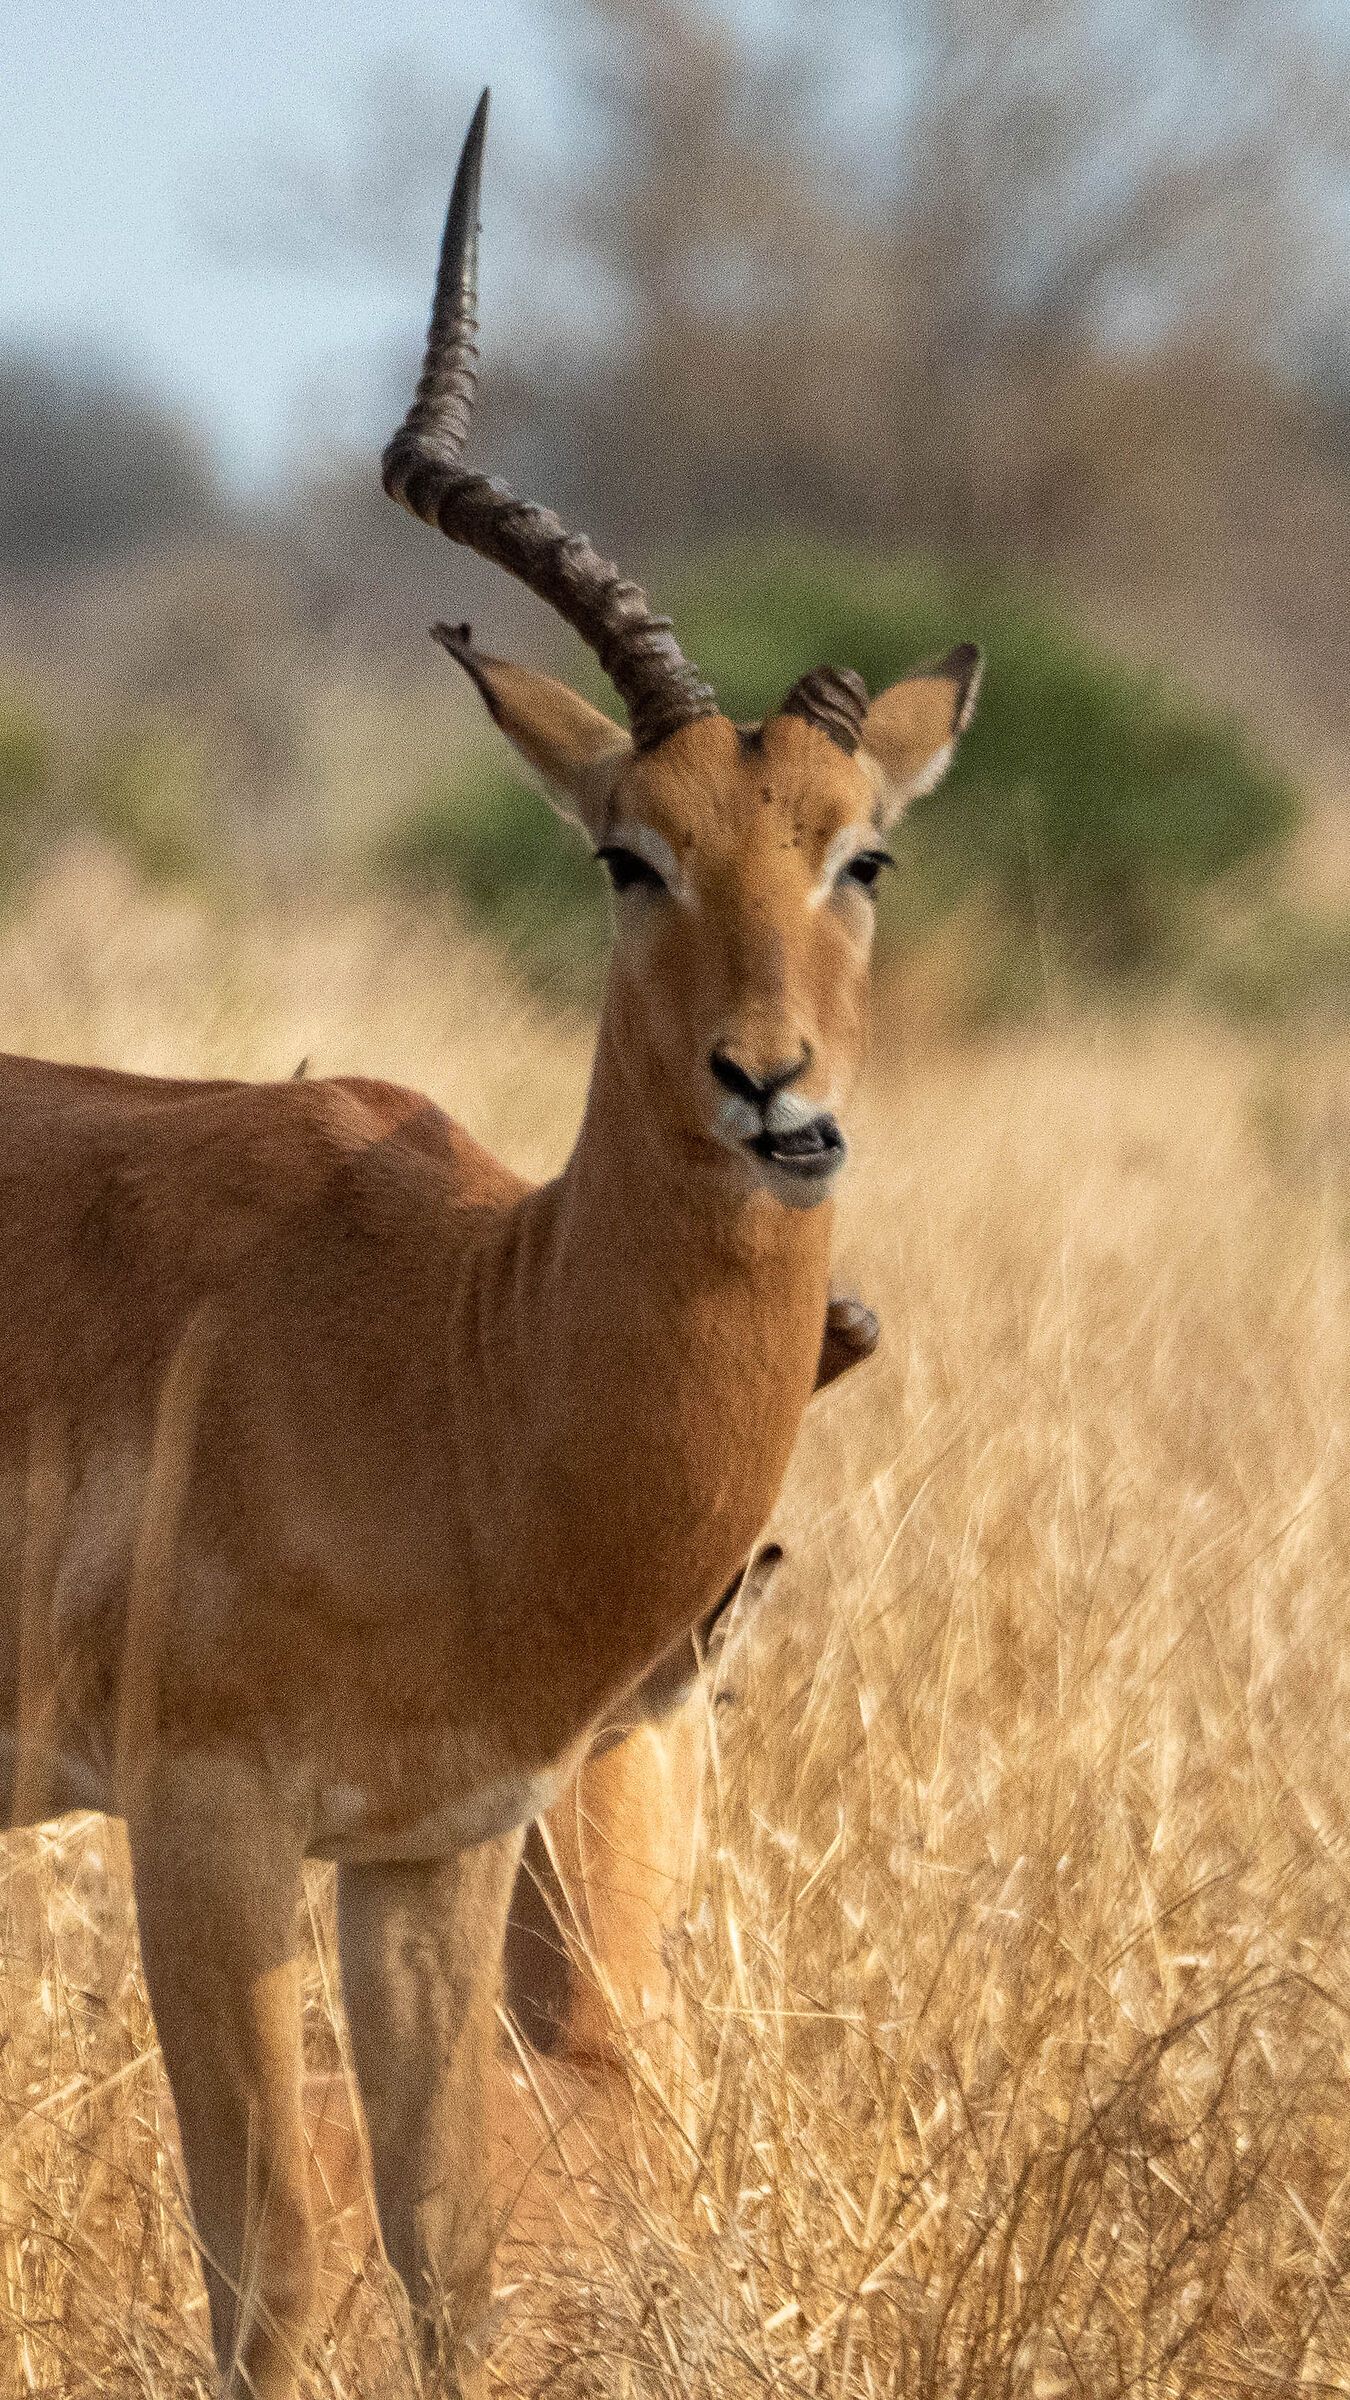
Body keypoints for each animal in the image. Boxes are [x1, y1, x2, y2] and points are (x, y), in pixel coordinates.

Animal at [0, 88, 980, 2398]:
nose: (773, 1091)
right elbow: (274, 2275)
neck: (462, 1361)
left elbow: (445, 2259)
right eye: (631, 854)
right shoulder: (204, 1832)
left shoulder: (422, 1857)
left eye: (864, 854)